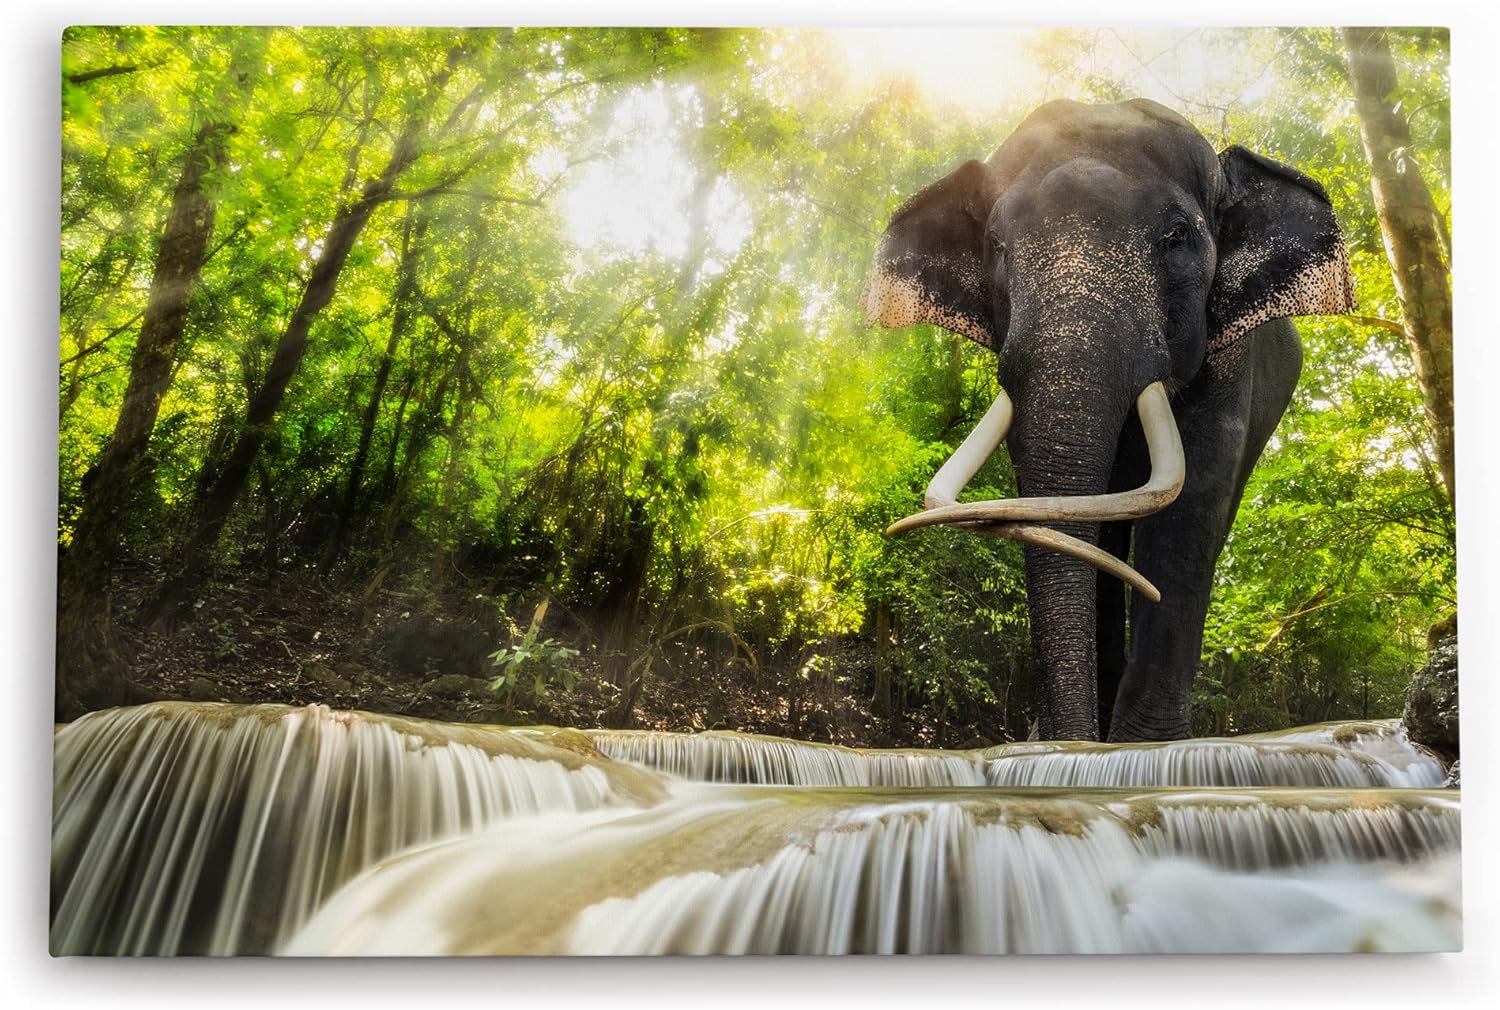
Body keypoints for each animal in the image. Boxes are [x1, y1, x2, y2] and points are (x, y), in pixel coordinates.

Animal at [864, 98, 1354, 742]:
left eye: (1177, 236)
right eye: (996, 244)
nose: (1058, 738)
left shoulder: (1228, 359)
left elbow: (1191, 505)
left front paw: (1146, 747)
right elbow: (1067, 515)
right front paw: (1070, 743)